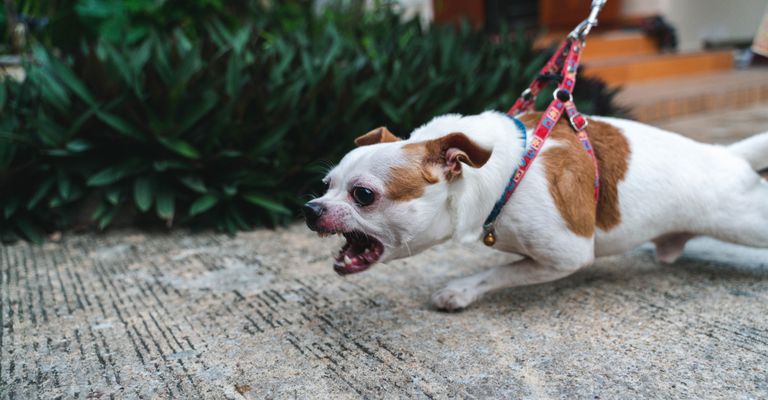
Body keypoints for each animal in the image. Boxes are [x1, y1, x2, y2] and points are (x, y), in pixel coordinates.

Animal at [304, 111, 768, 310]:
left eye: (363, 195)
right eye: (326, 186)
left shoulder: (567, 254)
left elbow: (498, 271)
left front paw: (460, 291)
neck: (502, 174)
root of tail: (727, 154)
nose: (310, 209)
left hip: (745, 222)